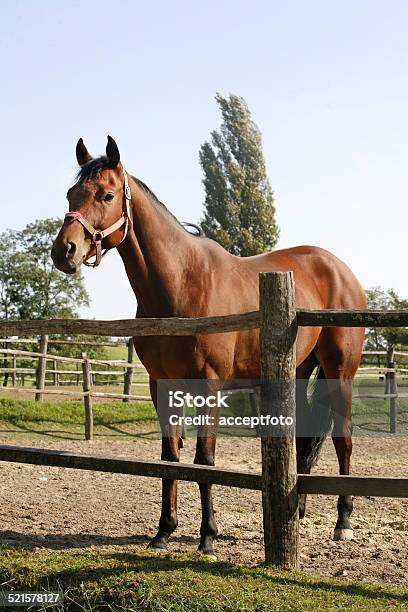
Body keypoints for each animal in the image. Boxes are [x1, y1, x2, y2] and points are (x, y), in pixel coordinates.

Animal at [51, 136, 366, 556]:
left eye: (106, 194)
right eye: (72, 194)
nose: (64, 251)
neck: (181, 284)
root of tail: (341, 270)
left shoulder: (209, 387)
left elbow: (204, 460)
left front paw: (208, 537)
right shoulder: (162, 386)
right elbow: (169, 458)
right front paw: (163, 532)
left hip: (339, 372)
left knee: (342, 439)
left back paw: (343, 521)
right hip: (298, 372)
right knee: (302, 438)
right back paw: (296, 513)